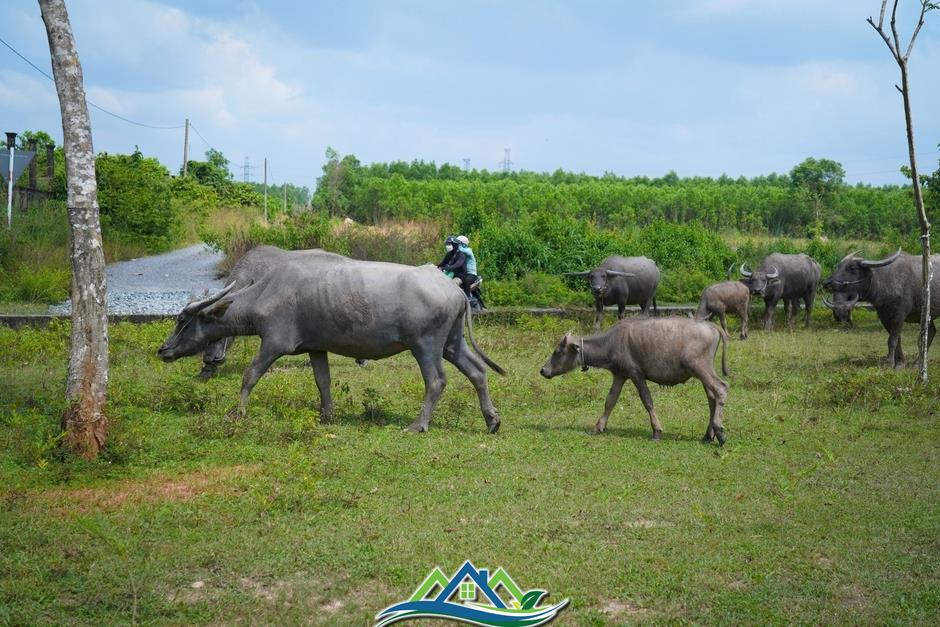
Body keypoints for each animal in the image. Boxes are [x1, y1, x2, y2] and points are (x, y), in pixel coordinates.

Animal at [158, 250, 506, 432]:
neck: (269, 291)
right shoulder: (316, 348)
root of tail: (453, 288)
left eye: (181, 320)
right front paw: (326, 416)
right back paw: (491, 420)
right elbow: (322, 381)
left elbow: (250, 375)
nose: (163, 350)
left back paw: (418, 425)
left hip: (426, 345)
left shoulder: (273, 344)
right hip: (451, 343)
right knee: (477, 372)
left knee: (436, 381)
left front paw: (237, 412)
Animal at [540, 318, 732, 446]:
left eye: (558, 352)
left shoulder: (636, 374)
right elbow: (610, 401)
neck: (612, 342)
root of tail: (712, 326)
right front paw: (598, 426)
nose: (543, 370)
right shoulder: (619, 375)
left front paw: (656, 431)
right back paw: (708, 435)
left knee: (721, 389)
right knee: (711, 398)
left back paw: (720, 431)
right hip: (703, 371)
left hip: (700, 368)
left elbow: (647, 401)